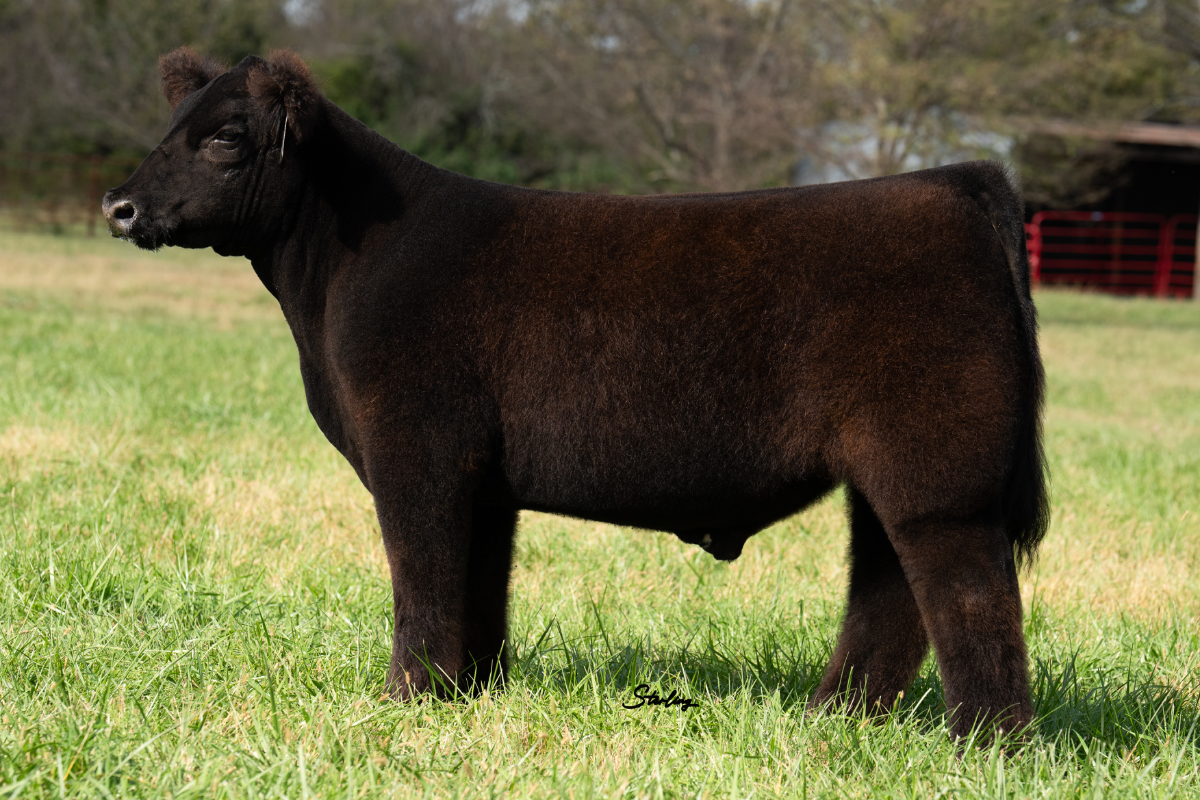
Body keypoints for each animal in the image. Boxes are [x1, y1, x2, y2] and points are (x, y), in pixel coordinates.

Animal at [102, 48, 1049, 741]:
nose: (120, 205)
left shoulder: (417, 453)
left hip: (938, 473)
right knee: (889, 590)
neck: (336, 275)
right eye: (171, 125)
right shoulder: (483, 480)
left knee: (966, 593)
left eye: (226, 137)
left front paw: (407, 698)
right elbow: (477, 584)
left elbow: (422, 577)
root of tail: (957, 181)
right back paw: (834, 719)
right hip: (891, 476)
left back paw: (986, 742)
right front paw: (469, 693)